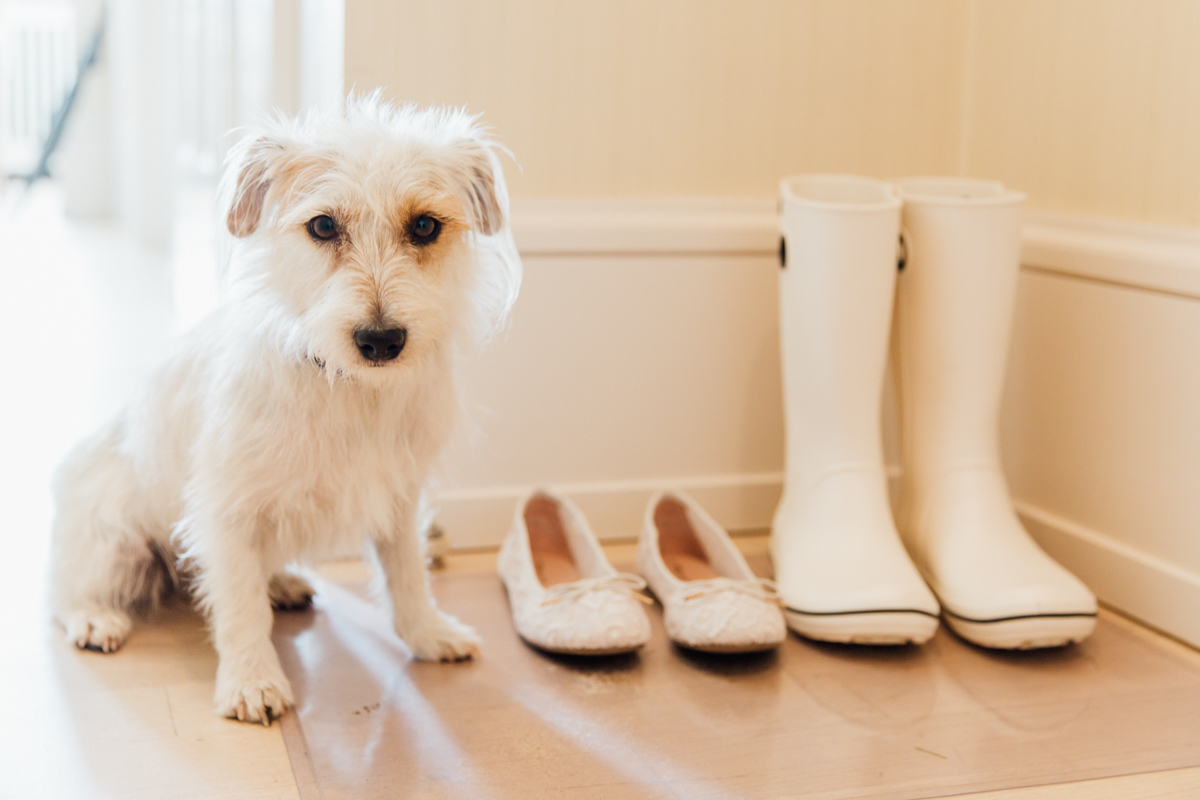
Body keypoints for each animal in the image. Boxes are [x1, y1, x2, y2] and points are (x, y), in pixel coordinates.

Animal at [49, 95, 518, 724]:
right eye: (323, 226)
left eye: (425, 226)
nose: (380, 340)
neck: (348, 387)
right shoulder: (226, 509)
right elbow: (240, 605)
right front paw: (251, 679)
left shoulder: (400, 495)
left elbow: (406, 573)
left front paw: (426, 633)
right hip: (113, 536)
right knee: (69, 588)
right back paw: (95, 616)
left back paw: (282, 584)